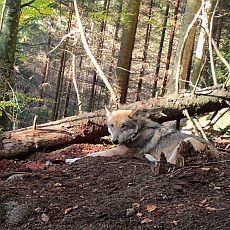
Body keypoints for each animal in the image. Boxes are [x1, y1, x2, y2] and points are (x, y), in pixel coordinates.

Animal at [65, 108, 219, 164]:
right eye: (111, 126)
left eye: (124, 126)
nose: (114, 141)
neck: (138, 132)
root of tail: (216, 153)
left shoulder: (118, 151)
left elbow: (89, 155)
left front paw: (71, 159)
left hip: (187, 140)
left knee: (168, 163)